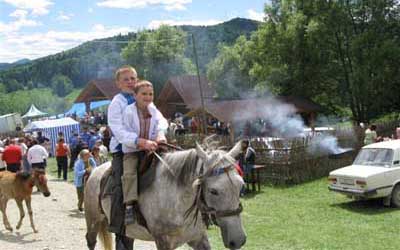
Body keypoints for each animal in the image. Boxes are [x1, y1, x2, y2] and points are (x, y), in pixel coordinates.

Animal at [85, 141, 247, 250]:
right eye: (213, 191)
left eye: (241, 186)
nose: (238, 240)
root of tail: (95, 171)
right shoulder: (163, 242)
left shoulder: (199, 238)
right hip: (93, 220)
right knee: (91, 240)